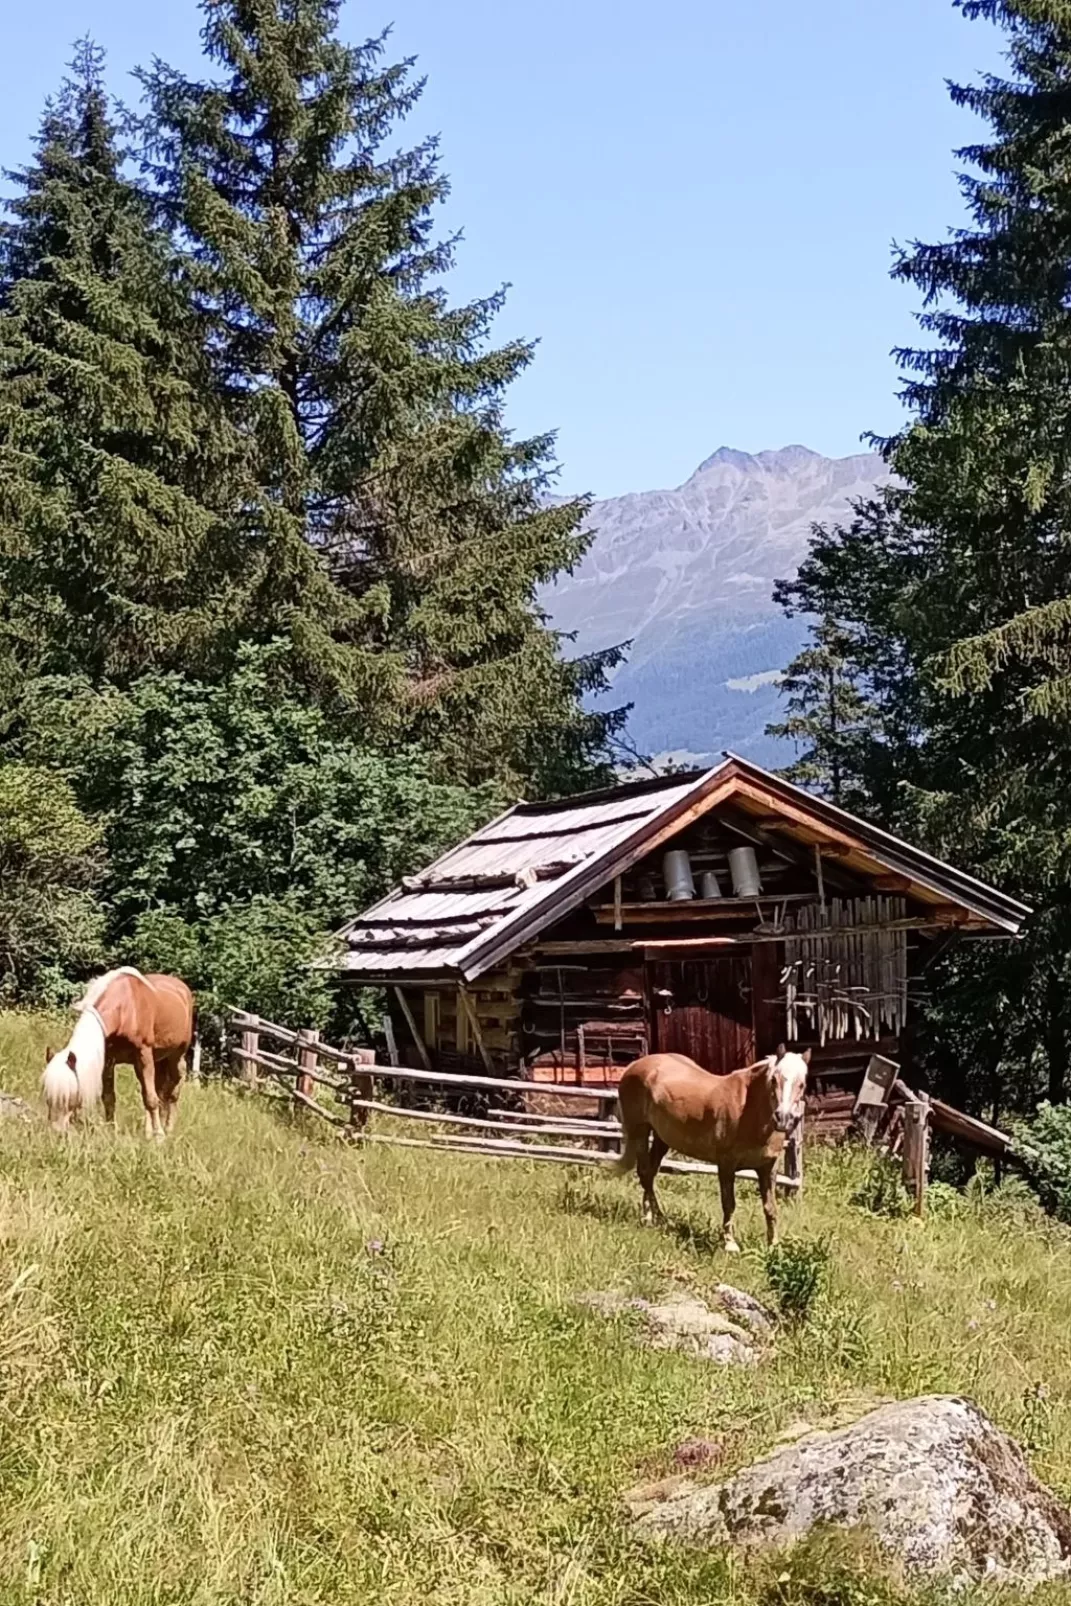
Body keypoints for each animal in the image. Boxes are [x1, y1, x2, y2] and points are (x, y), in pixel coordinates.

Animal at [42, 963, 195, 1143]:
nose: (56, 1132)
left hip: (175, 1056)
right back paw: (148, 1132)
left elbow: (151, 1099)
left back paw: (167, 1130)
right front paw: (111, 1132)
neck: (126, 1008)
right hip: (156, 1061)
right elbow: (109, 1098)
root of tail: (182, 987)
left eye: (68, 1095)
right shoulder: (108, 1060)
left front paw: (159, 1136)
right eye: (47, 1096)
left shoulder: (143, 1054)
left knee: (172, 1091)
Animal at [616, 1040, 809, 1252]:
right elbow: (728, 1203)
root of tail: (634, 1066)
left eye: (802, 1083)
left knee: (649, 1174)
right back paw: (658, 1218)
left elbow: (770, 1208)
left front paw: (774, 1246)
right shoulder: (726, 1164)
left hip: (661, 1139)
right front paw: (730, 1244)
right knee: (644, 1173)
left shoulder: (768, 1168)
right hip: (639, 1132)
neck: (749, 1109)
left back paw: (652, 1218)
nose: (783, 1118)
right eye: (774, 1080)